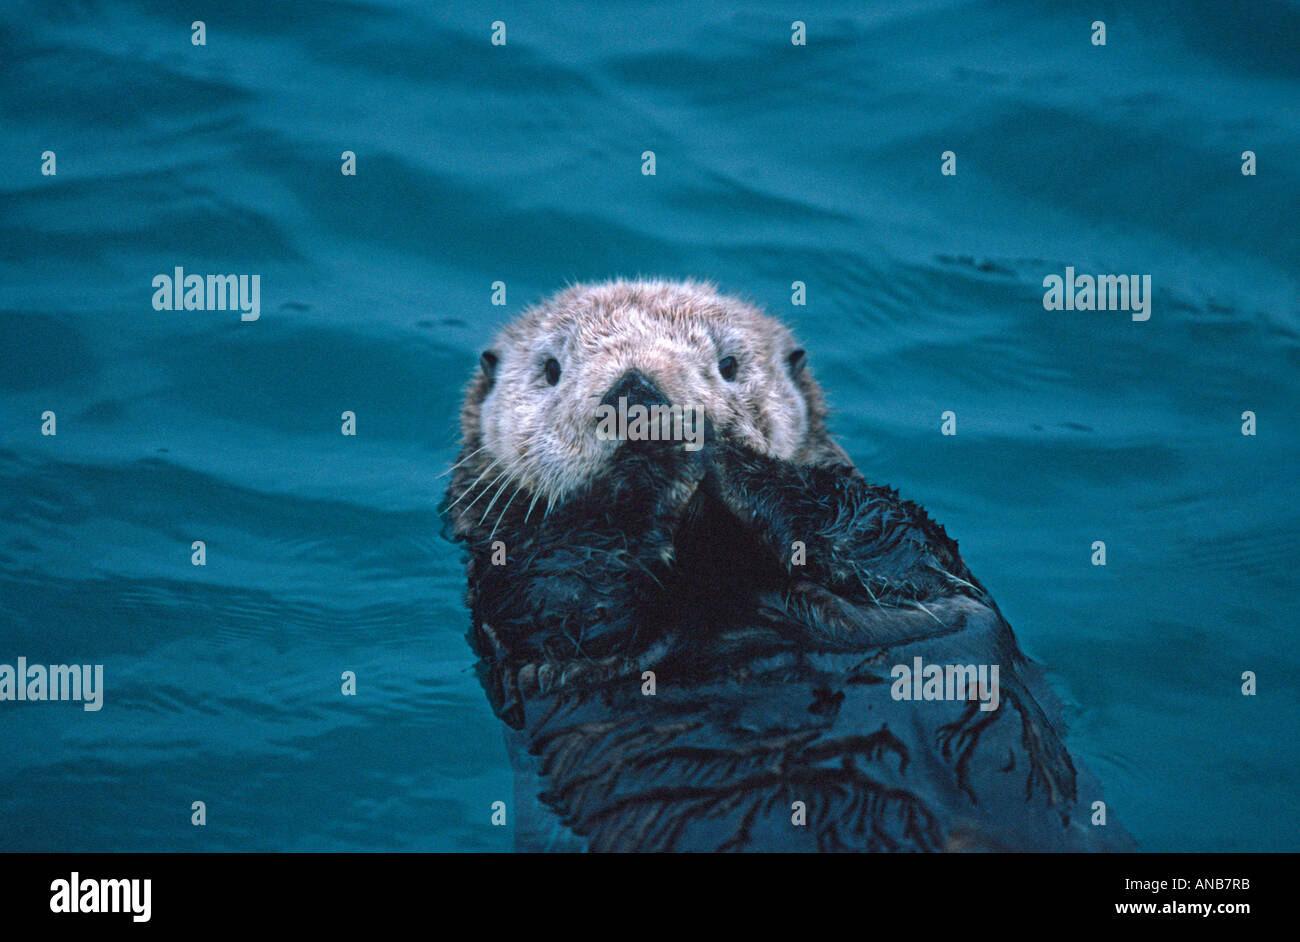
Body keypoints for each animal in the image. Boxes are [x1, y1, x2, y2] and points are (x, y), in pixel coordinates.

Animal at [443, 278, 1129, 852]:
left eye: (729, 364)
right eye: (551, 369)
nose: (638, 392)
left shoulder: (908, 557)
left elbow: (890, 539)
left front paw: (718, 451)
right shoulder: (521, 599)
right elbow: (569, 600)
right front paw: (652, 471)